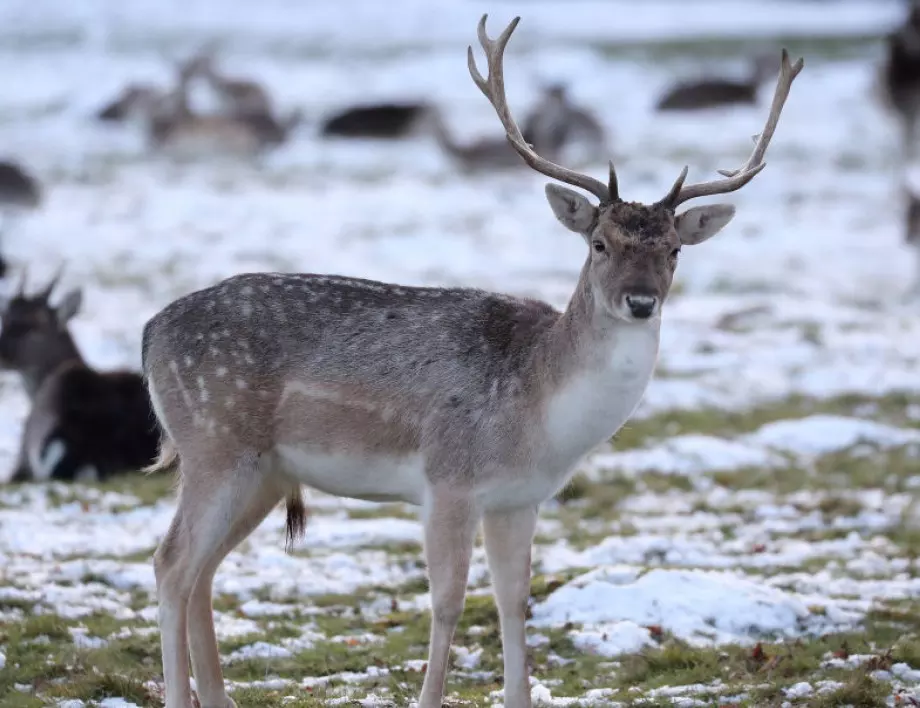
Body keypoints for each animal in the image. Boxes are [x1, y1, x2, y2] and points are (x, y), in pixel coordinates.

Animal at [140, 15, 800, 708]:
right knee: (171, 563)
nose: (641, 301)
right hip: (214, 442)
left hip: (263, 471)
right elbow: (449, 603)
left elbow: (514, 602)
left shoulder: (519, 499)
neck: (542, 413)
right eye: (599, 243)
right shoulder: (448, 480)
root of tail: (150, 332)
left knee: (204, 570)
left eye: (673, 249)